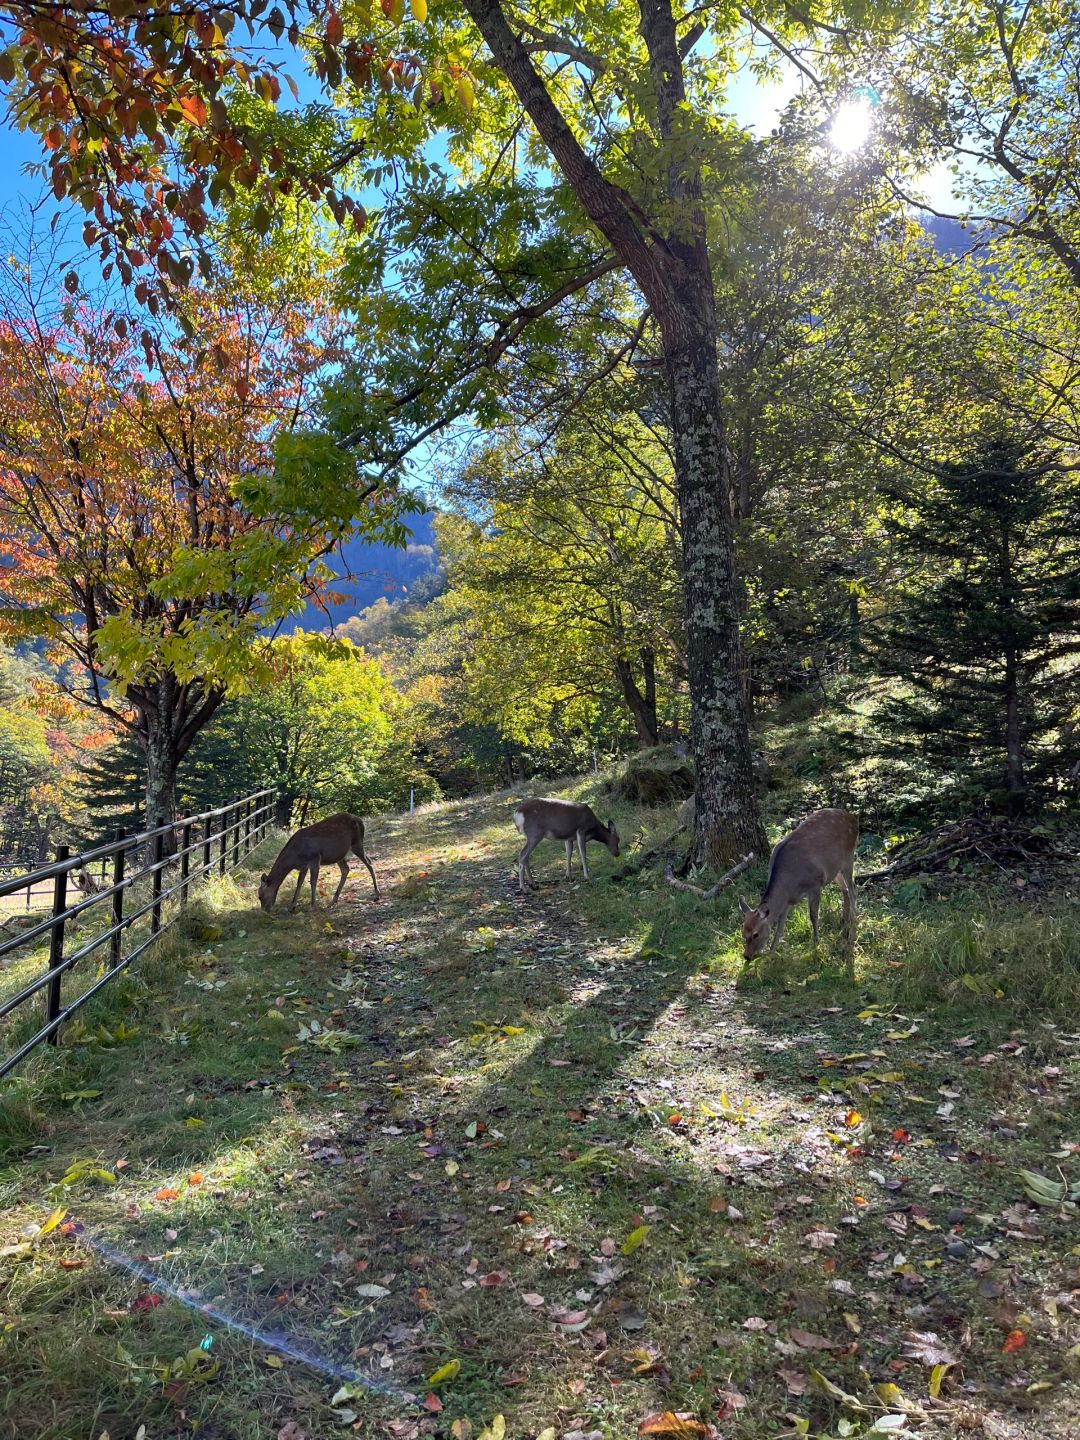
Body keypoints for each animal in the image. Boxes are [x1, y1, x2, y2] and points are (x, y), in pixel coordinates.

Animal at [743, 806, 858, 973]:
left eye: (756, 934)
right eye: (743, 932)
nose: (746, 956)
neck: (789, 885)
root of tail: (852, 818)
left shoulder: (815, 884)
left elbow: (813, 916)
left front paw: (816, 945)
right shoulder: (787, 902)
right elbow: (780, 927)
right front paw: (771, 954)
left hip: (849, 858)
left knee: (854, 890)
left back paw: (851, 931)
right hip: (834, 869)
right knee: (846, 890)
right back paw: (843, 924)